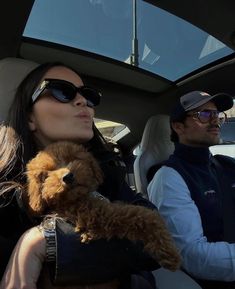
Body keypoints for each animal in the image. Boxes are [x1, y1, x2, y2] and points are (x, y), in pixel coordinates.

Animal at [25, 141, 181, 276]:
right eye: (47, 173)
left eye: (73, 158)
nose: (68, 177)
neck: (76, 199)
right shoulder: (101, 216)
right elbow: (145, 215)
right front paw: (170, 253)